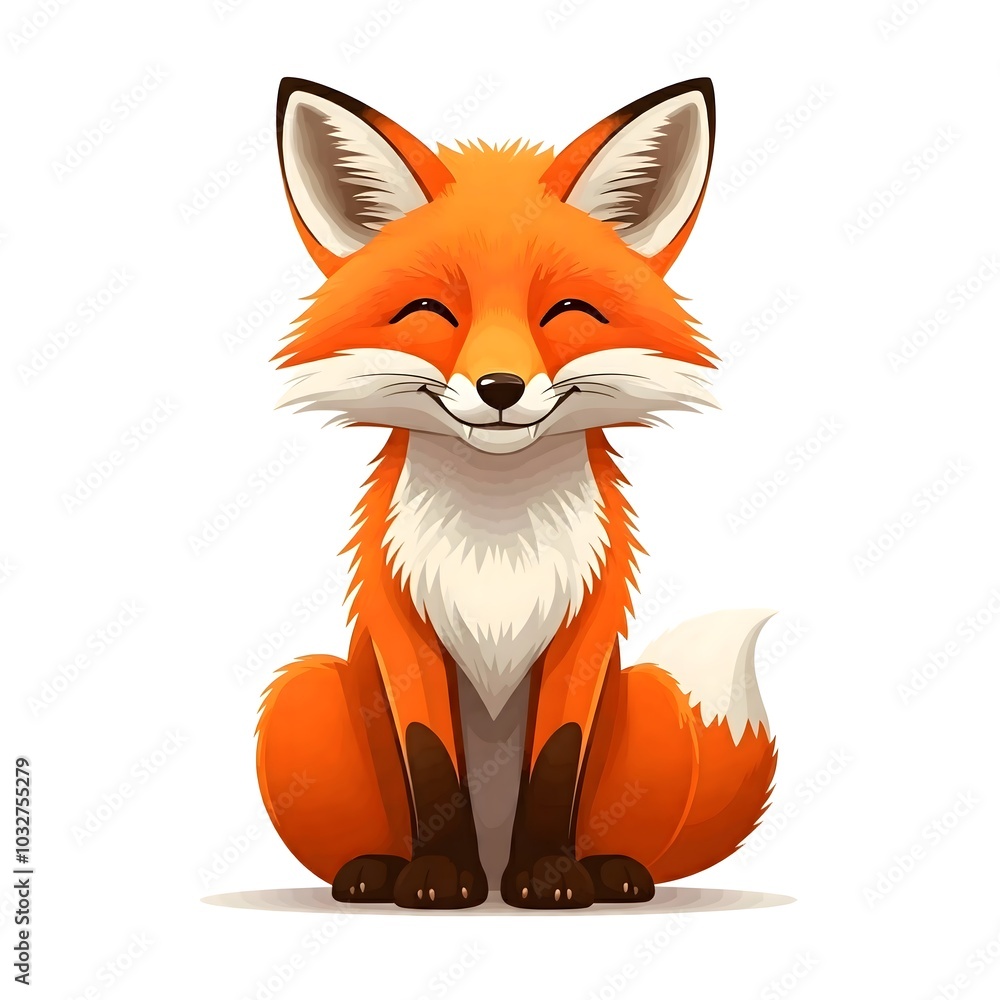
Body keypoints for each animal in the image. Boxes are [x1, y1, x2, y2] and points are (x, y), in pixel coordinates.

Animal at [255, 76, 777, 910]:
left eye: (565, 312)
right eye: (432, 312)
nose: (499, 388)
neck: (497, 534)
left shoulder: (585, 634)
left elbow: (557, 762)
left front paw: (550, 876)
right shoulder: (404, 632)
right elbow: (430, 762)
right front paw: (439, 876)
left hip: (656, 698)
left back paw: (614, 870)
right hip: (300, 691)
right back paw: (374, 870)